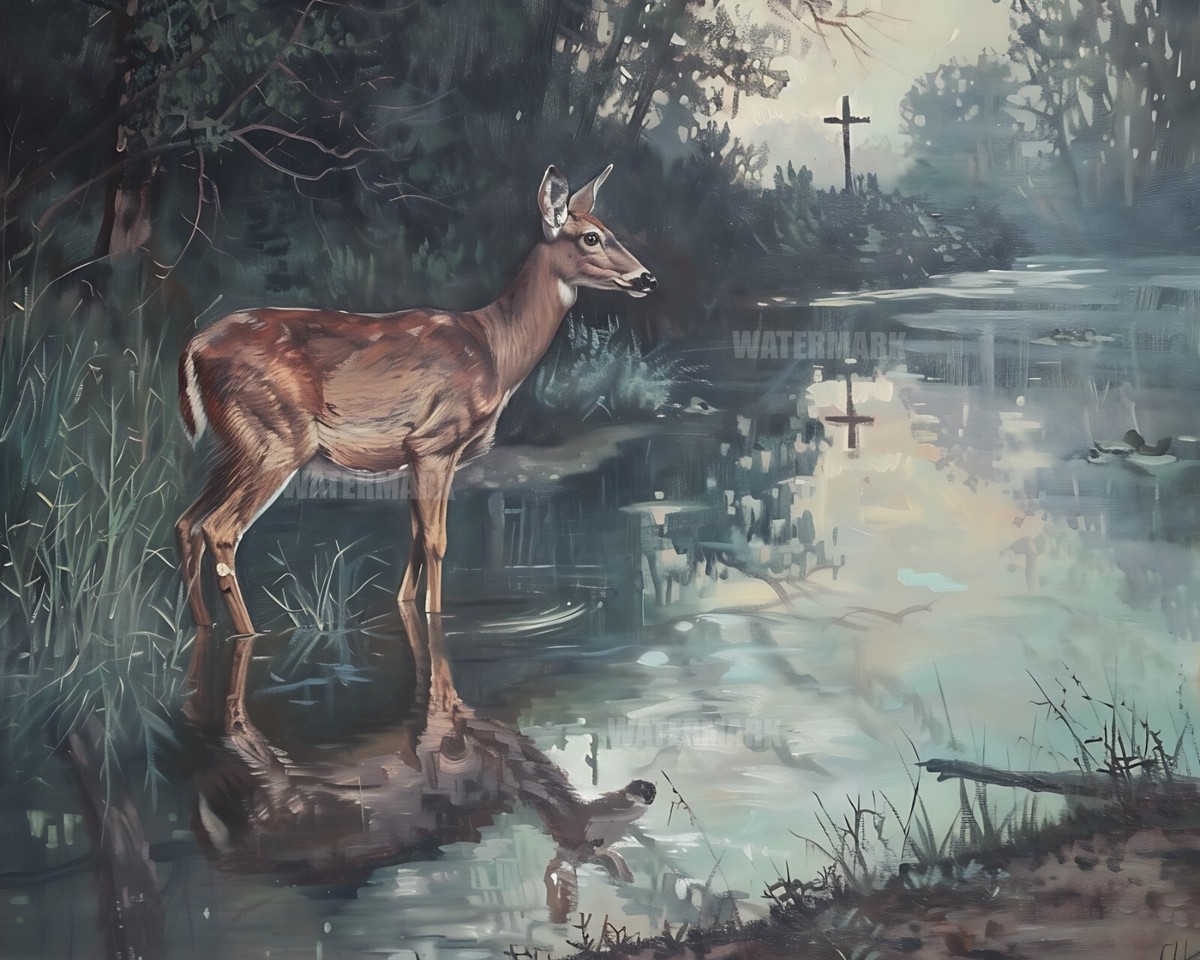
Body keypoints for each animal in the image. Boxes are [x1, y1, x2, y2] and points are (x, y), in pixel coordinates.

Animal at [175, 164, 656, 713]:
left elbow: (413, 539)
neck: (497, 349)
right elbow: (437, 540)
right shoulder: (436, 441)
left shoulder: (413, 454)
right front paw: (439, 629)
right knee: (219, 529)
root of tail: (192, 347)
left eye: (609, 226)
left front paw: (410, 615)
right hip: (277, 438)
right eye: (591, 236)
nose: (647, 278)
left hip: (235, 443)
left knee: (187, 523)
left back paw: (205, 632)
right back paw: (250, 638)